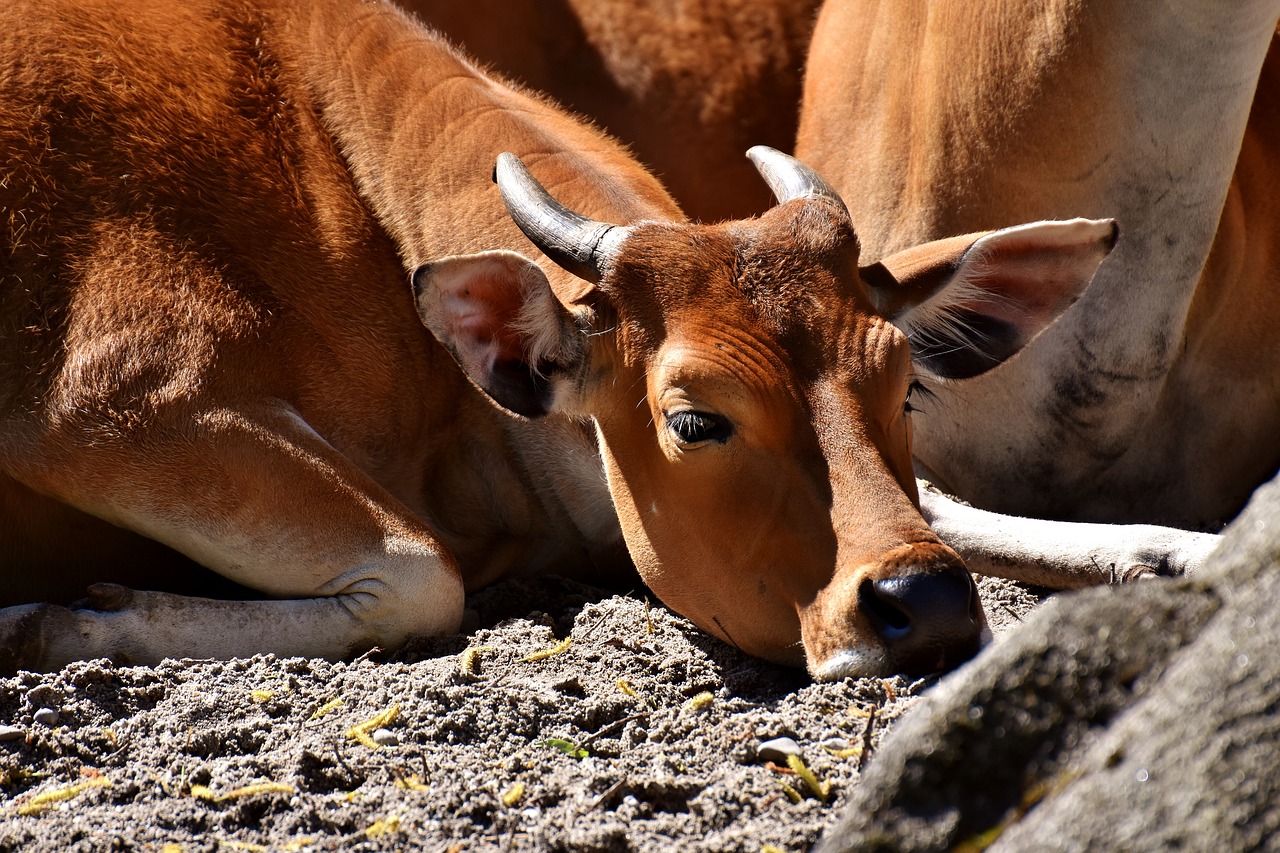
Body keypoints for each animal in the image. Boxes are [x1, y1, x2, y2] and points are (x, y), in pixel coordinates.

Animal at [0, 1, 1111, 676]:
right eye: (694, 420)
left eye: (905, 389)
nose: (924, 602)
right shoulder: (112, 402)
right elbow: (421, 572)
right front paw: (59, 617)